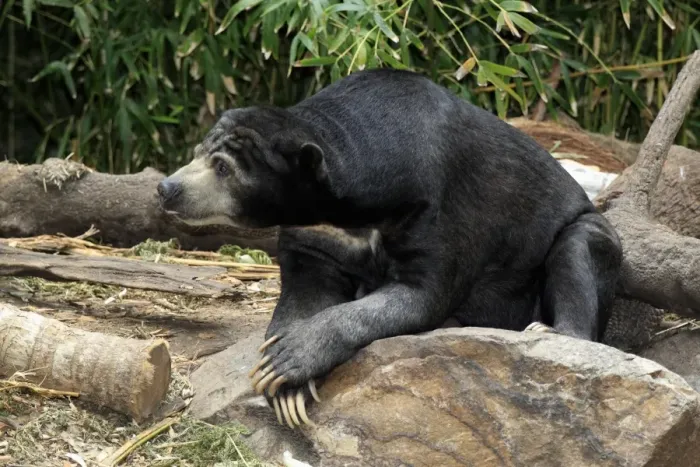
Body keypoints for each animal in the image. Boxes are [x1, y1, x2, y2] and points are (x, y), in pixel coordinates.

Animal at [157, 68, 623, 428]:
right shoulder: (316, 235)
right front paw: (285, 388)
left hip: (584, 232)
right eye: (197, 153)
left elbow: (421, 294)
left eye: (223, 168)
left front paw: (286, 362)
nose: (166, 188)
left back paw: (548, 330)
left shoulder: (438, 209)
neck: (351, 209)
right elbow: (305, 290)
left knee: (576, 250)